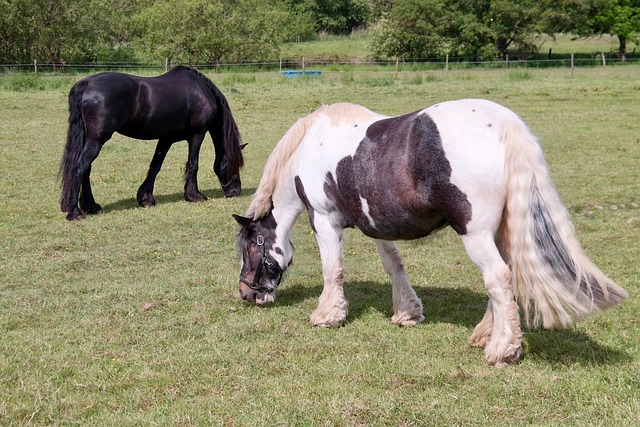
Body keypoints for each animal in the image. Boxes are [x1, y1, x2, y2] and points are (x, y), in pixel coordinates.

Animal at [60, 67, 245, 222]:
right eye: (235, 165)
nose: (235, 191)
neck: (200, 91)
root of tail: (86, 84)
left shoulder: (166, 139)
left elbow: (155, 166)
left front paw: (146, 198)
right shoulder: (197, 134)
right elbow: (193, 164)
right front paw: (194, 195)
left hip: (89, 139)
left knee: (86, 169)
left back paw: (91, 206)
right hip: (97, 140)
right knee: (79, 168)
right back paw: (75, 211)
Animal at [234, 100, 624, 368]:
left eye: (251, 247)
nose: (247, 294)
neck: (311, 146)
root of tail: (505, 125)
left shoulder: (324, 220)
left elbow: (334, 270)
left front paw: (327, 316)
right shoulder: (377, 224)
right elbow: (394, 265)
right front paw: (407, 312)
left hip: (475, 233)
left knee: (498, 277)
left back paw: (502, 349)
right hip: (501, 232)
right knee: (505, 278)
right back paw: (487, 335)